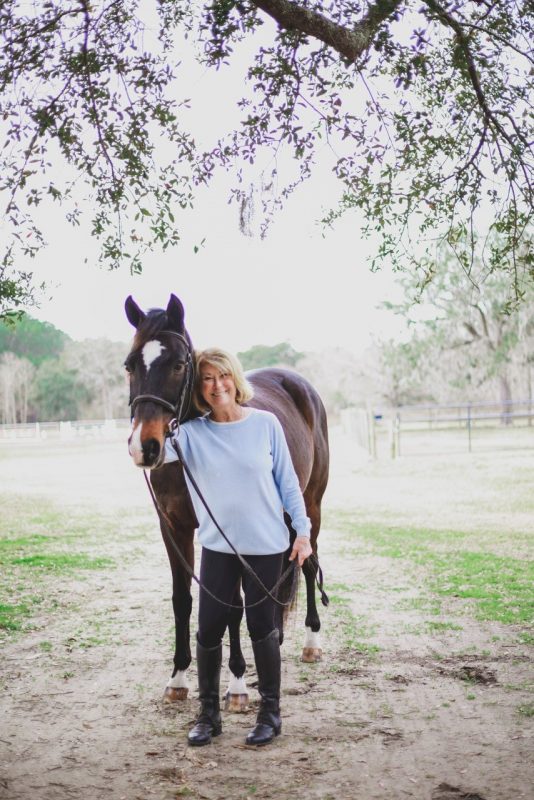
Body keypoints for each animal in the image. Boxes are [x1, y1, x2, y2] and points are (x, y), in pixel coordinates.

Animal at [125, 292, 330, 708]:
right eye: (129, 365)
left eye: (179, 363)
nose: (145, 447)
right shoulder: (174, 528)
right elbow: (182, 599)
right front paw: (178, 677)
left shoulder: (227, 531)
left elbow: (232, 603)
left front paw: (235, 683)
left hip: (309, 504)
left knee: (307, 563)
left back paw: (311, 641)